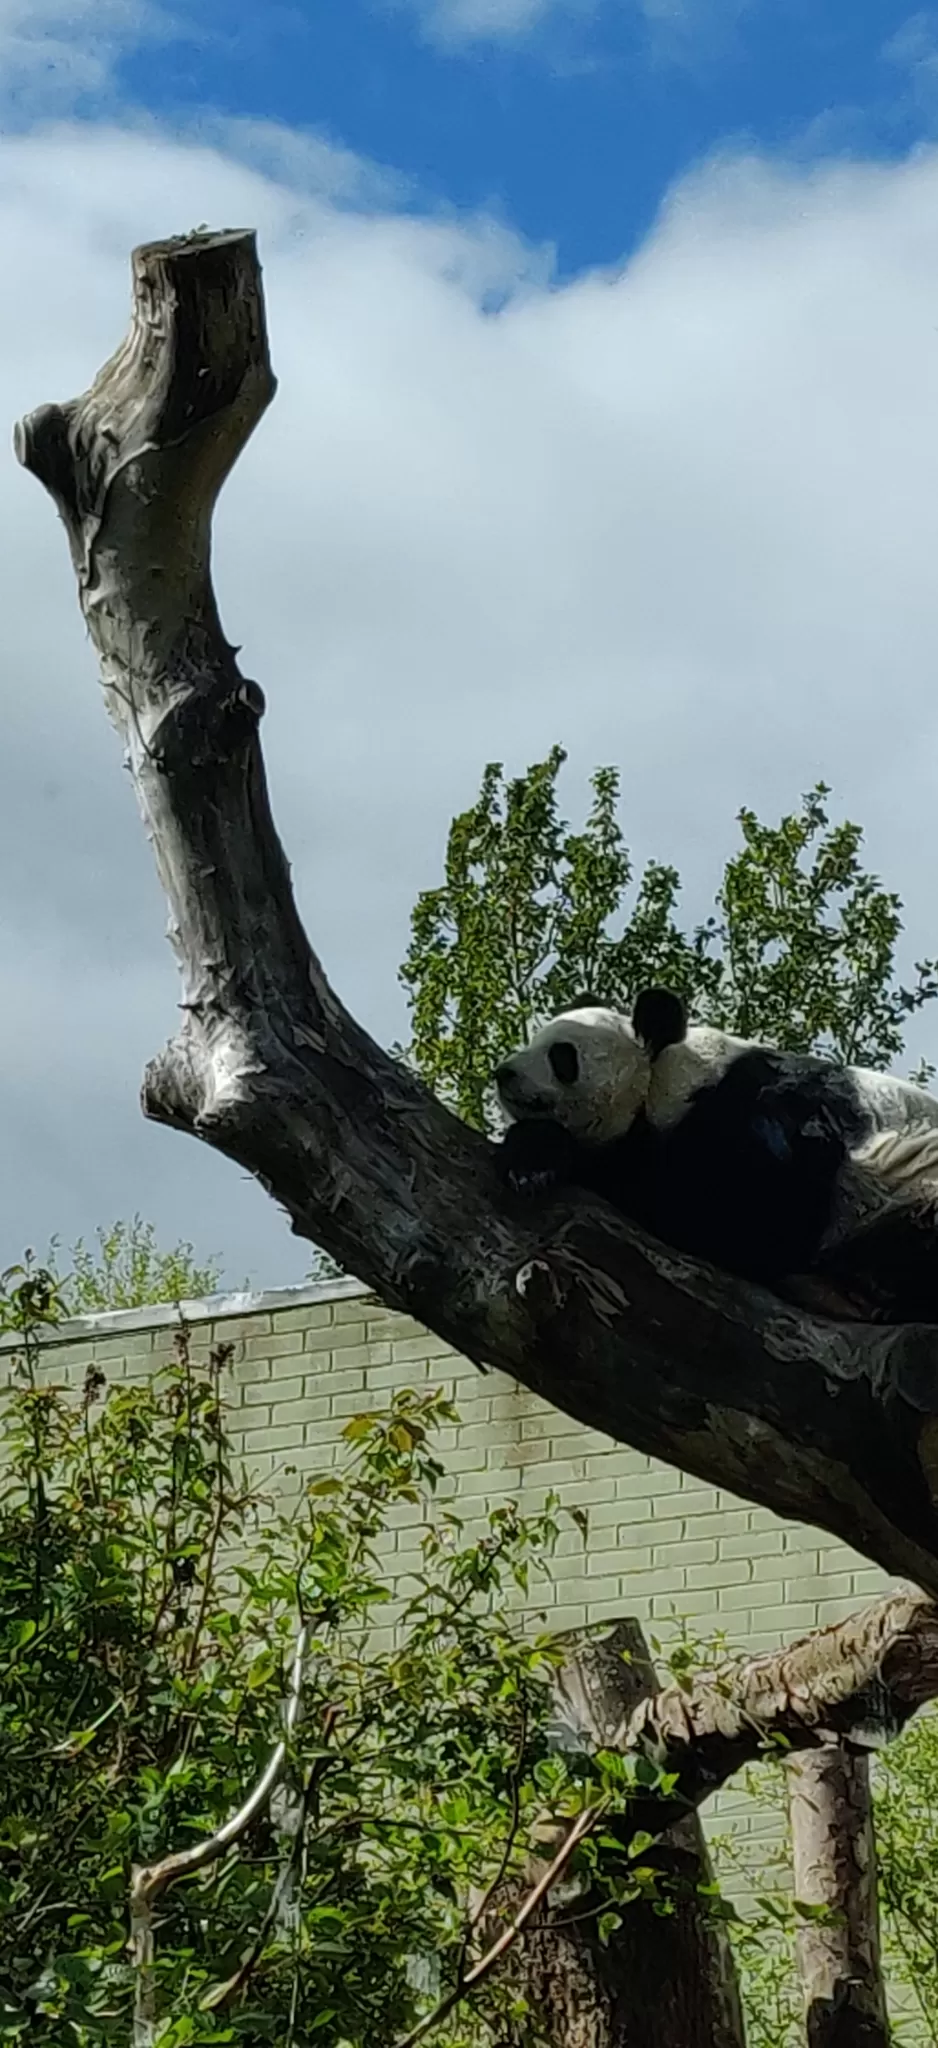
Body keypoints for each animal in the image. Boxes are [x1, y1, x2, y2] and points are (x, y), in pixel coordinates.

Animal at [491, 983, 938, 1302]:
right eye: (534, 1039)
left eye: (562, 1055)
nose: (504, 1072)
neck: (673, 1075)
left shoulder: (761, 1118)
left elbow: (730, 1215)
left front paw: (542, 1158)